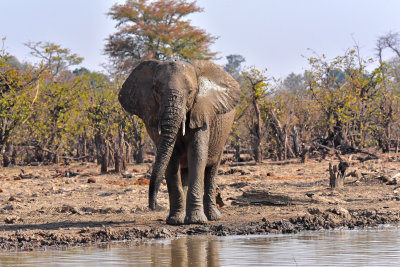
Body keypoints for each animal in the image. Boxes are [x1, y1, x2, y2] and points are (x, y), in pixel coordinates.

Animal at [117, 59, 239, 225]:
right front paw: (174, 221)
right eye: (156, 90)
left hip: (222, 137)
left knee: (211, 171)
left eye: (191, 92)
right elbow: (171, 159)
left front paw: (196, 221)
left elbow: (197, 155)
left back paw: (213, 217)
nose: (153, 205)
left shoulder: (201, 113)